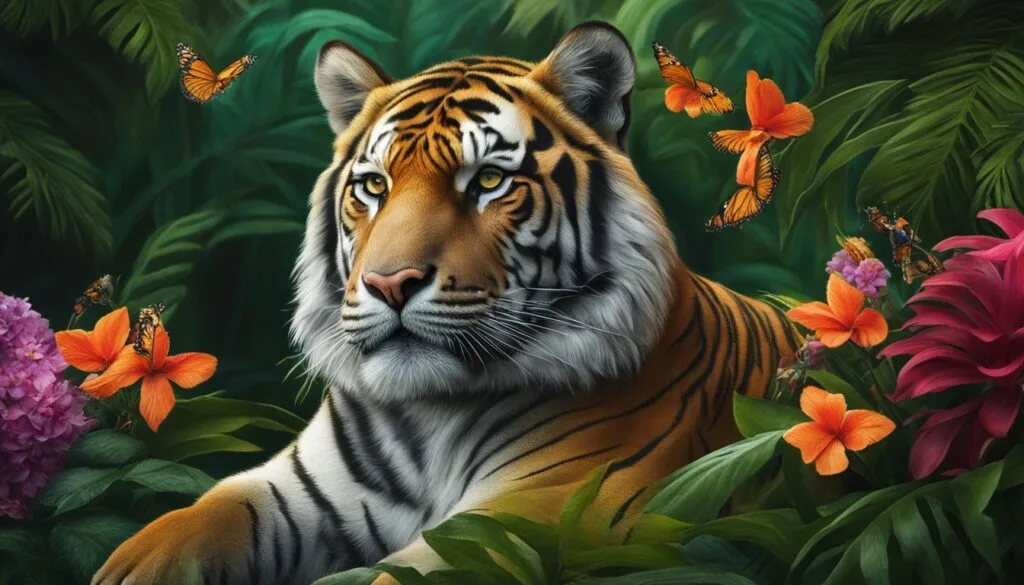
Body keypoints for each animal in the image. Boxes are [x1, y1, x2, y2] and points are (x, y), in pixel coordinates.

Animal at [93, 21, 801, 585]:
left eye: (488, 180)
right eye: (375, 186)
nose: (389, 283)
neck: (428, 416)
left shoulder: (546, 511)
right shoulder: (298, 489)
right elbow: (195, 520)